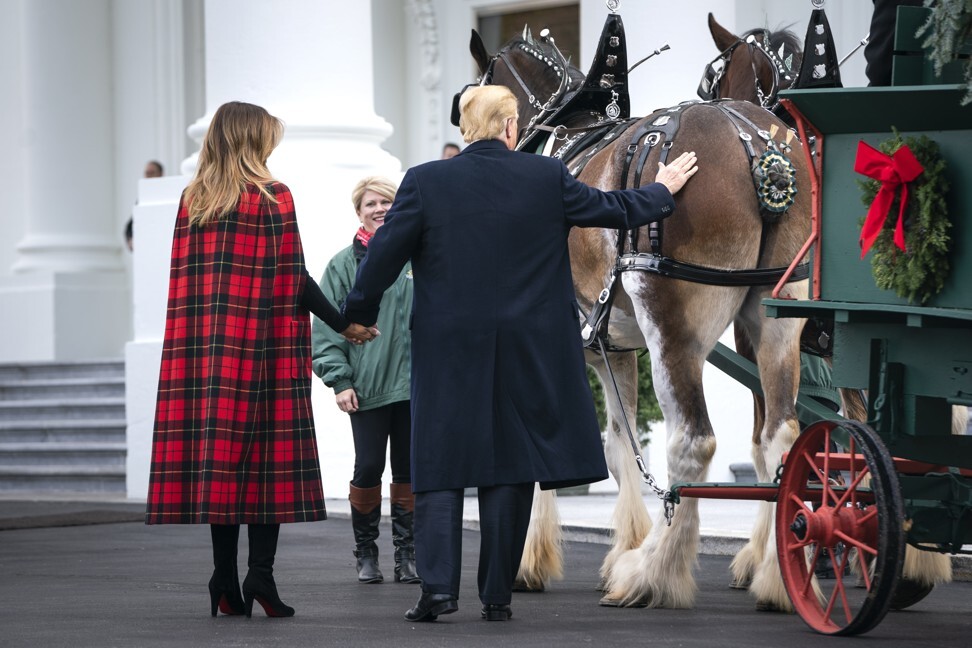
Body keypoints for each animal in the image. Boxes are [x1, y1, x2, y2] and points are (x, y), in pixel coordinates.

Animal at [470, 26, 812, 612]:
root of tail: (761, 150)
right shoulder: (612, 348)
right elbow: (617, 443)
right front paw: (621, 544)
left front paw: (528, 560)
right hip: (776, 320)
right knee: (778, 438)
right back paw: (775, 576)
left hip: (672, 329)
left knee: (694, 442)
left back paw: (654, 572)